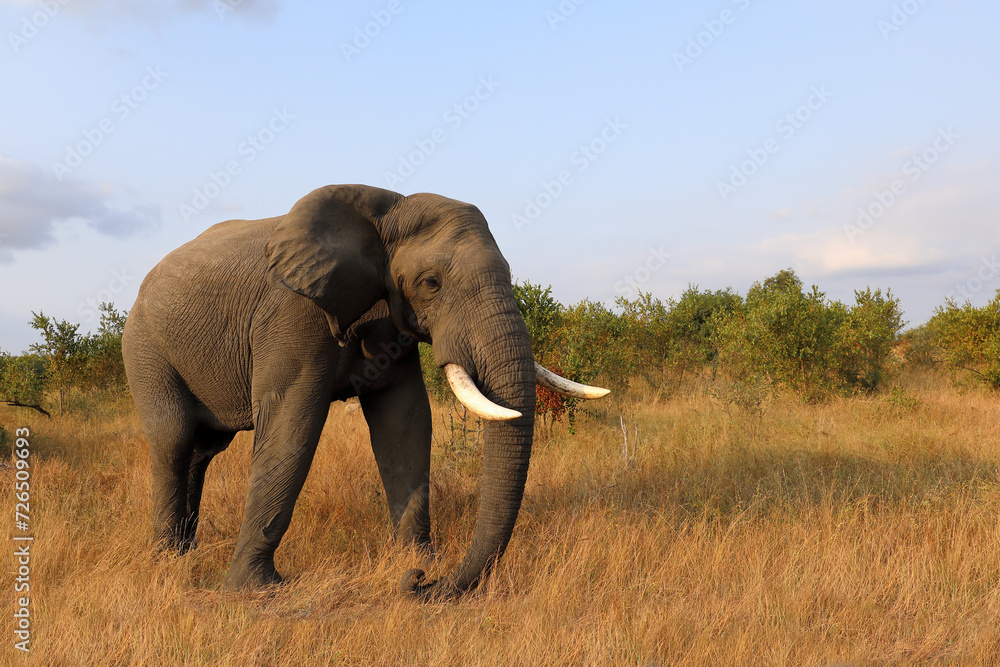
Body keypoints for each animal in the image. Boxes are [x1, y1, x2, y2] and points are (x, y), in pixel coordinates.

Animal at [122, 184, 609, 601]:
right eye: (431, 283)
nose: (420, 581)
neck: (387, 211)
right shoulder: (292, 313)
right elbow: (291, 427)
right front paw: (253, 591)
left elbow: (405, 423)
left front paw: (415, 559)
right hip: (144, 347)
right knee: (173, 438)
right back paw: (167, 560)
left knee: (203, 451)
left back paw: (187, 553)